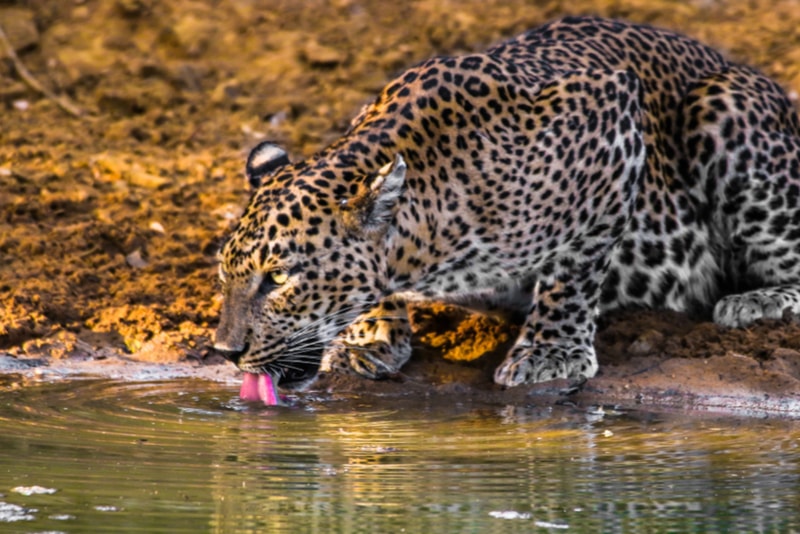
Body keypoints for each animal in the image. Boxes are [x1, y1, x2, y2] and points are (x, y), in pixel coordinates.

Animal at [214, 15, 800, 391]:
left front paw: (551, 352)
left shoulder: (612, 123)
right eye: (225, 275)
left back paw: (756, 301)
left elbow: (574, 269)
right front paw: (368, 337)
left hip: (721, 105)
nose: (225, 354)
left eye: (279, 279)